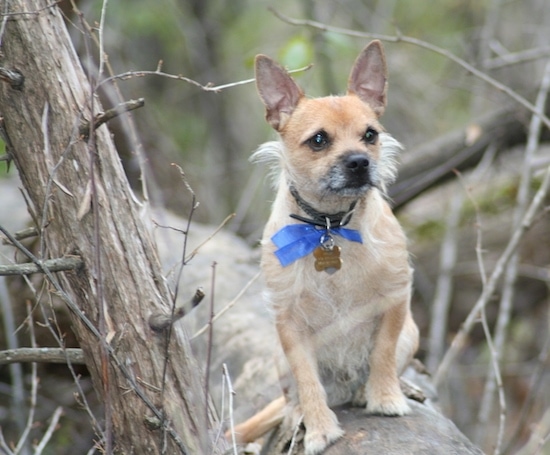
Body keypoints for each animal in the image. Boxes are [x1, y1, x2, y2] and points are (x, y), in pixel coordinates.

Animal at [231, 40, 420, 455]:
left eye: (370, 135)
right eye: (319, 139)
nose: (360, 162)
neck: (330, 226)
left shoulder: (395, 296)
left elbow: (383, 351)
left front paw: (385, 398)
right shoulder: (289, 325)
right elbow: (307, 379)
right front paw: (319, 427)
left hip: (412, 335)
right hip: (279, 361)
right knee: (292, 399)